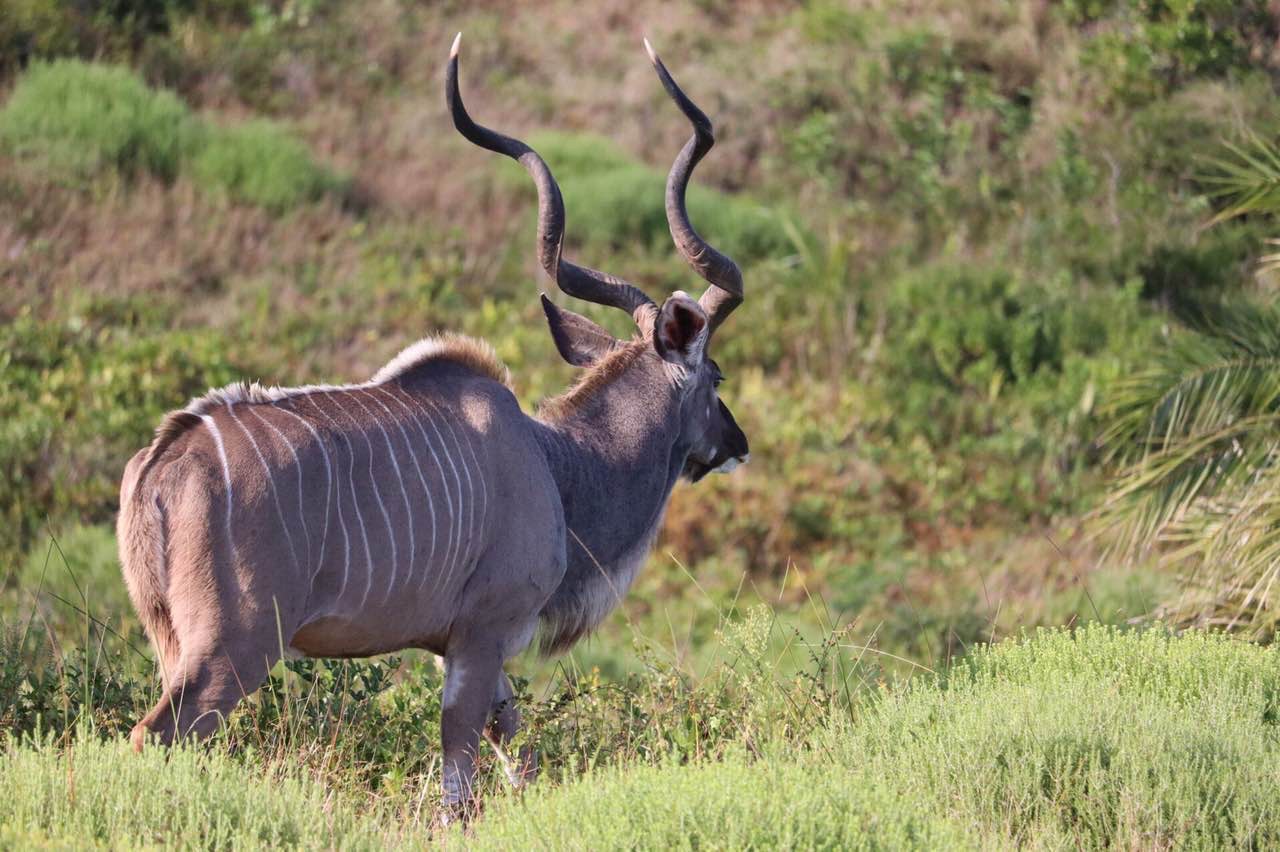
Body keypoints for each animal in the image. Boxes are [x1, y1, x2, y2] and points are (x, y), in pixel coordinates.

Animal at [120, 34, 747, 808]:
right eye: (717, 376)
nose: (737, 442)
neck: (555, 463)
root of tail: (165, 459)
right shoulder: (481, 635)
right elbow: (458, 780)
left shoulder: (478, 647)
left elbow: (516, 751)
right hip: (235, 645)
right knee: (158, 735)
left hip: (171, 639)